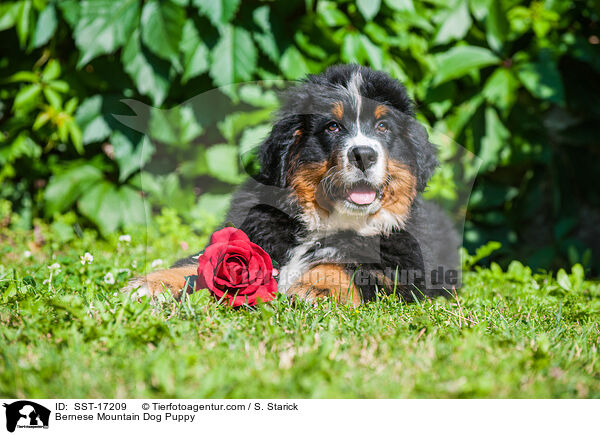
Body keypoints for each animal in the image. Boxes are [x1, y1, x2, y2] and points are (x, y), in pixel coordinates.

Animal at [126, 64, 460, 306]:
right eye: (332, 126)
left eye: (382, 126)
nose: (364, 154)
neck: (325, 224)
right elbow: (207, 260)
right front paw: (153, 283)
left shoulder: (401, 264)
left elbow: (347, 266)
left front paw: (318, 288)